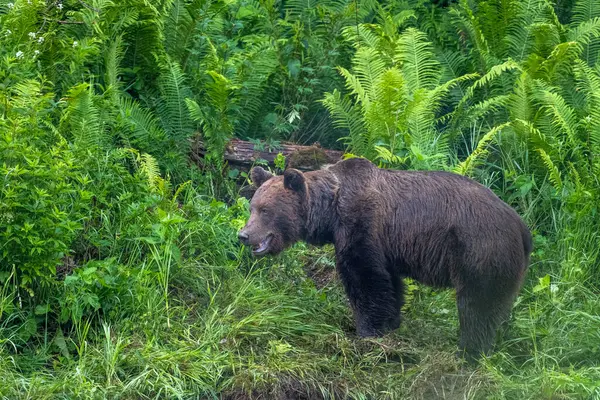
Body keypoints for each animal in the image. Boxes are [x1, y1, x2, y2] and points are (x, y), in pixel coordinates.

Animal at [237, 157, 532, 360]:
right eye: (253, 206)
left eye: (265, 210)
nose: (244, 235)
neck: (331, 211)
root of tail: (522, 227)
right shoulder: (388, 247)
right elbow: (390, 283)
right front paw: (390, 324)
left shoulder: (363, 225)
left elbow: (365, 279)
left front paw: (367, 331)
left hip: (480, 250)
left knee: (478, 304)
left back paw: (469, 351)